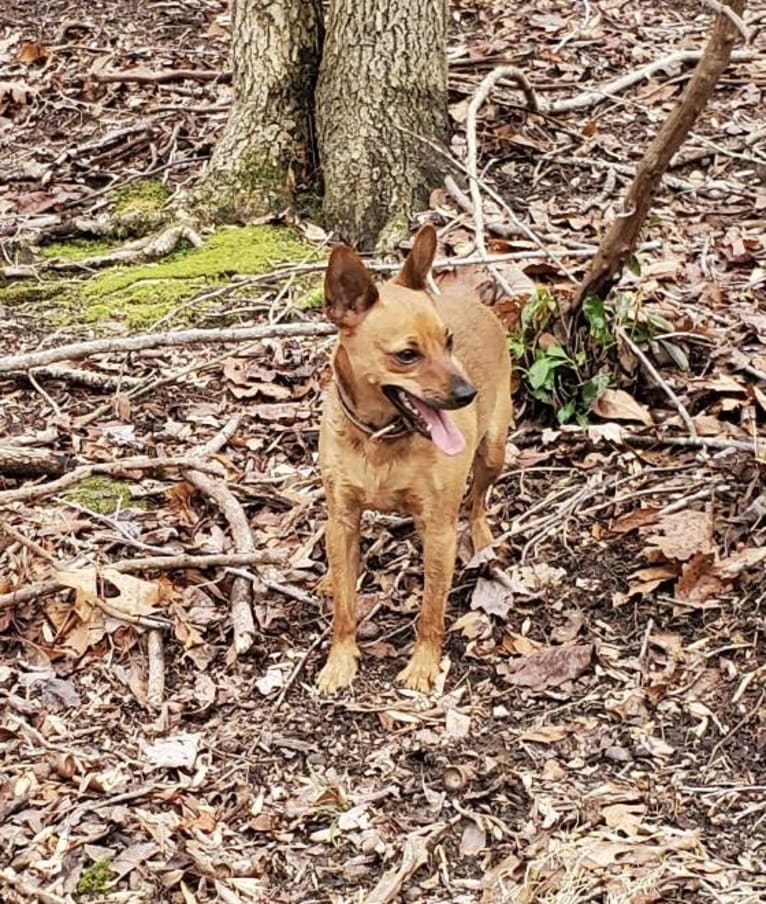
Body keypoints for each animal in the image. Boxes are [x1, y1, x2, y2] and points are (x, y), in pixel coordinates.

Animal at [316, 224, 512, 692]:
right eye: (407, 355)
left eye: (449, 342)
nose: (467, 394)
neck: (380, 439)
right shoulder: (342, 519)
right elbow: (344, 606)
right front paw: (340, 660)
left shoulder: (438, 531)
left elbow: (431, 610)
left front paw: (423, 666)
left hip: (493, 449)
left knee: (478, 501)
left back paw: (482, 540)